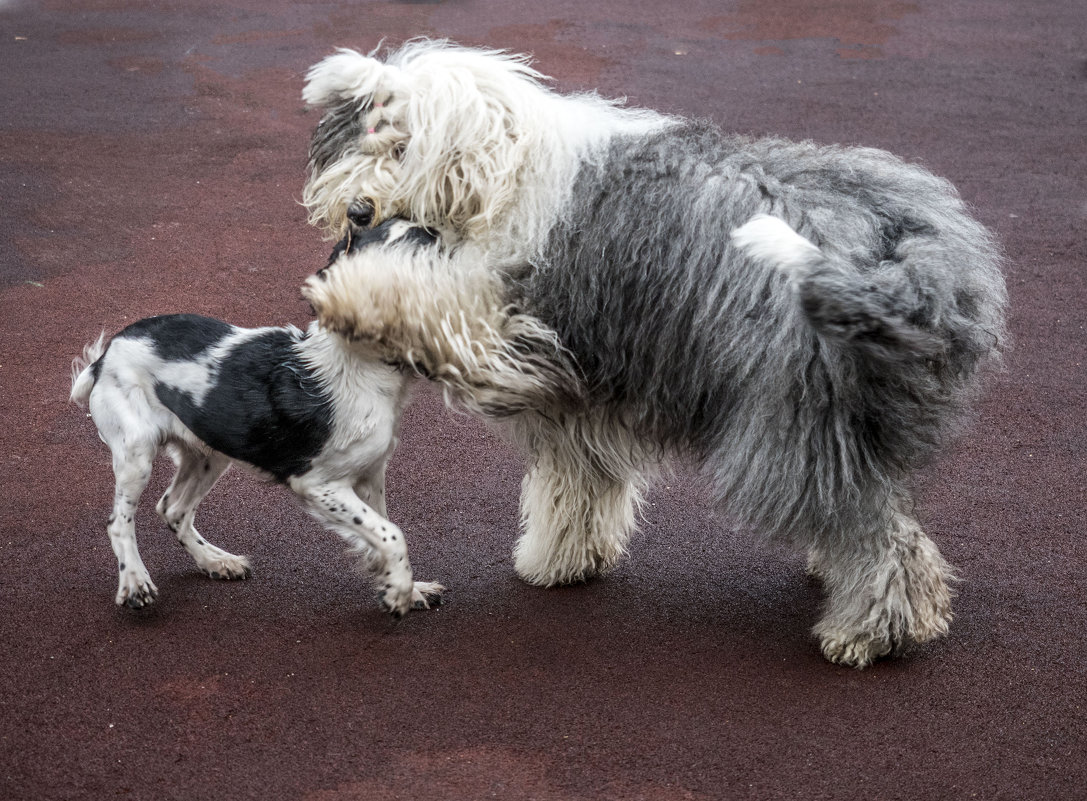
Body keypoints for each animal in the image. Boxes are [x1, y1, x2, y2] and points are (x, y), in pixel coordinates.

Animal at [71, 221, 441, 617]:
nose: (437, 227)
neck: (359, 362)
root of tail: (107, 353)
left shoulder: (371, 473)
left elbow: (381, 532)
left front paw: (408, 588)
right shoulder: (318, 483)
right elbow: (392, 533)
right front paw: (398, 592)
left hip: (209, 452)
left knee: (172, 509)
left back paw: (216, 562)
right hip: (136, 451)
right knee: (119, 523)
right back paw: (135, 582)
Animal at [295, 40, 1000, 665]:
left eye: (402, 148)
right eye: (359, 143)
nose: (359, 211)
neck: (497, 173)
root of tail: (905, 246)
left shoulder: (503, 326)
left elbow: (423, 295)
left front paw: (349, 293)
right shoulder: (574, 390)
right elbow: (576, 482)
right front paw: (560, 562)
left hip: (791, 413)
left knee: (874, 533)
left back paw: (869, 633)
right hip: (853, 415)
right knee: (870, 501)